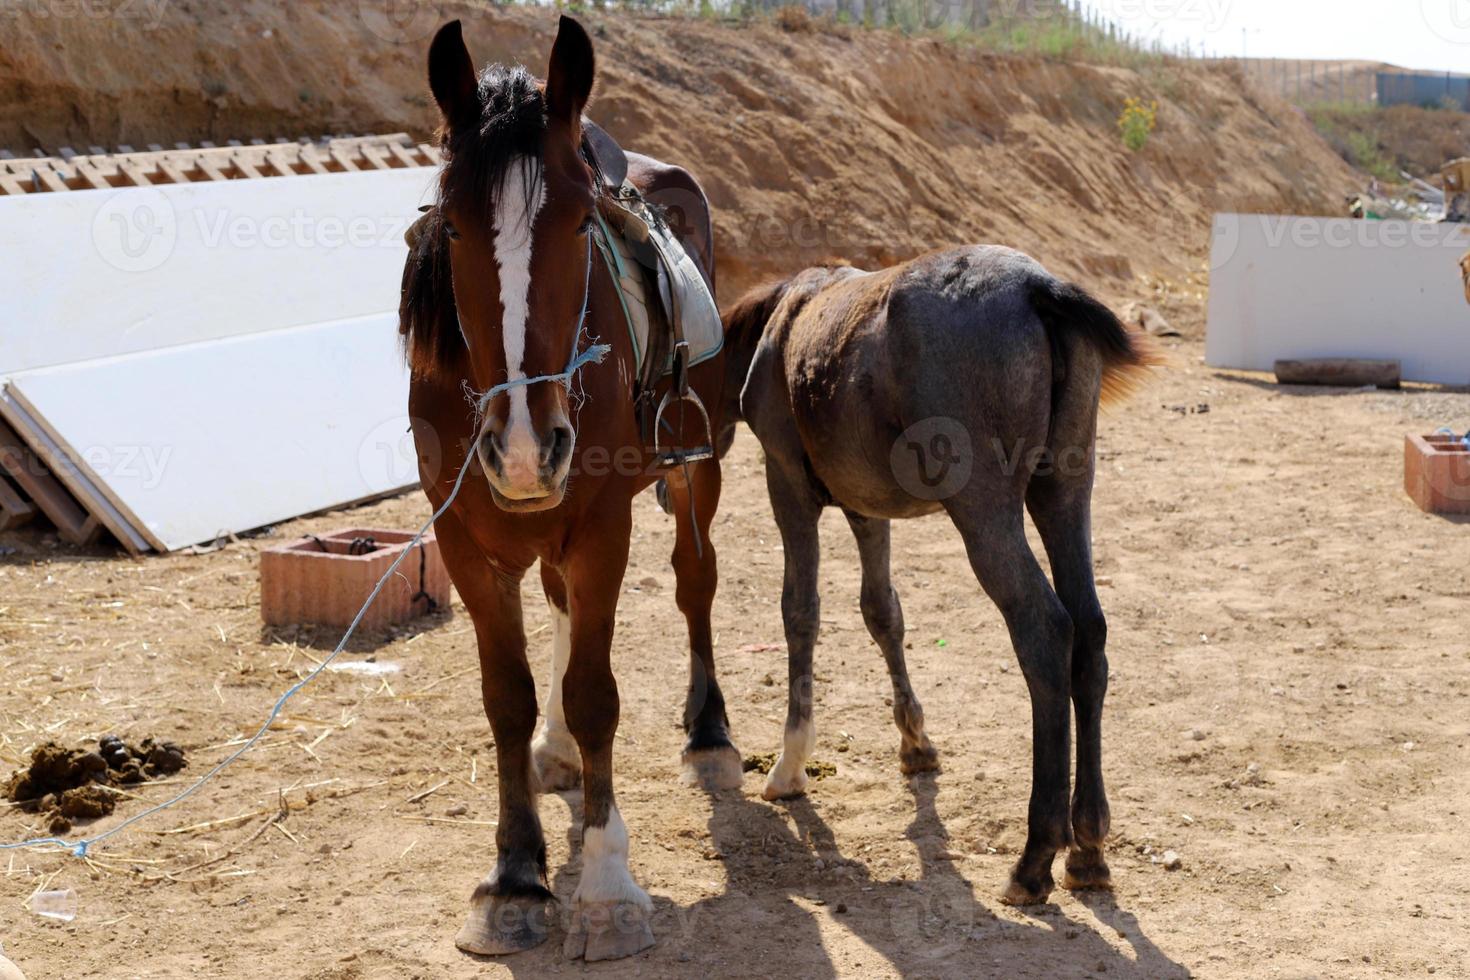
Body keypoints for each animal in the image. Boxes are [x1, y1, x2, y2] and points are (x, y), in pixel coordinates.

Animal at [402, 17, 740, 963]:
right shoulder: (463, 540)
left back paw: (710, 730)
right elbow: (506, 700)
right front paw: (515, 878)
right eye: (450, 227)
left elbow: (598, 697)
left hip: (696, 468)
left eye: (583, 221)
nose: (525, 445)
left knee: (695, 581)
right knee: (554, 604)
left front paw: (606, 888)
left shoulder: (599, 526)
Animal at [723, 249, 1158, 910]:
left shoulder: (787, 484)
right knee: (1089, 632)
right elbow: (882, 611)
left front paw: (791, 761)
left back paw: (1036, 857)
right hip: (1062, 490)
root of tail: (1038, 288)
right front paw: (916, 744)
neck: (785, 317)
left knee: (1044, 631)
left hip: (984, 509)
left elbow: (800, 612)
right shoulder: (866, 507)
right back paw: (1086, 847)